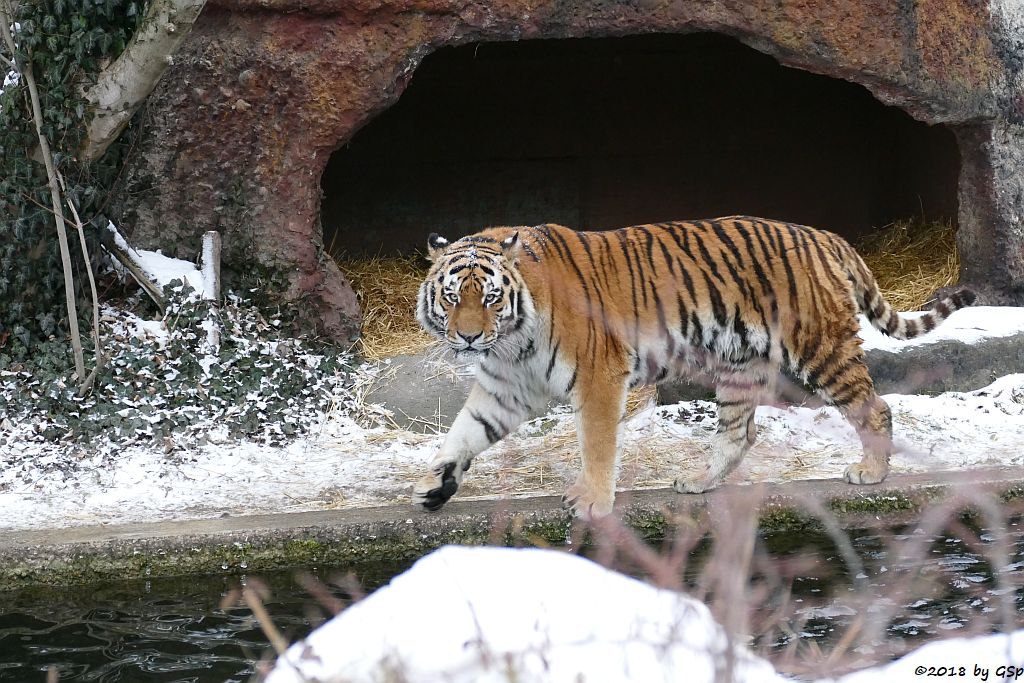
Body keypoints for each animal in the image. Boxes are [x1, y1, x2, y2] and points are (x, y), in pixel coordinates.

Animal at [409, 219, 974, 518]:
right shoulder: (505, 389)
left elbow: (597, 445)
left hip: (820, 347)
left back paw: (871, 472)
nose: (468, 336)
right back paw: (699, 483)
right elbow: (464, 432)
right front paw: (435, 482)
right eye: (453, 296)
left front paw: (592, 502)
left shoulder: (598, 377)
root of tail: (826, 236)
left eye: (490, 297)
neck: (511, 342)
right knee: (739, 433)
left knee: (874, 407)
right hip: (739, 363)